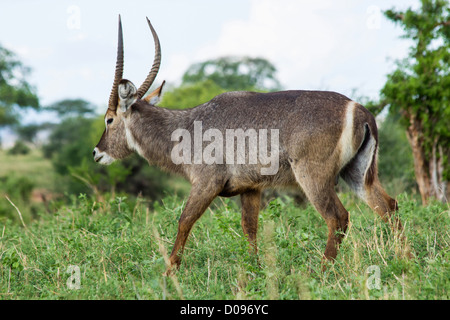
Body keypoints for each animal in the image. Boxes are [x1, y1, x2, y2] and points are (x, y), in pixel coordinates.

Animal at [93, 16, 402, 274]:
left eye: (109, 119)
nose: (96, 153)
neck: (185, 127)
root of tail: (359, 110)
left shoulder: (207, 182)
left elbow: (184, 221)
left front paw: (169, 273)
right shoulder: (251, 188)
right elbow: (249, 228)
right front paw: (255, 271)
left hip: (314, 176)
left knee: (338, 217)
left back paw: (321, 273)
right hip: (358, 174)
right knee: (388, 207)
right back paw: (404, 260)